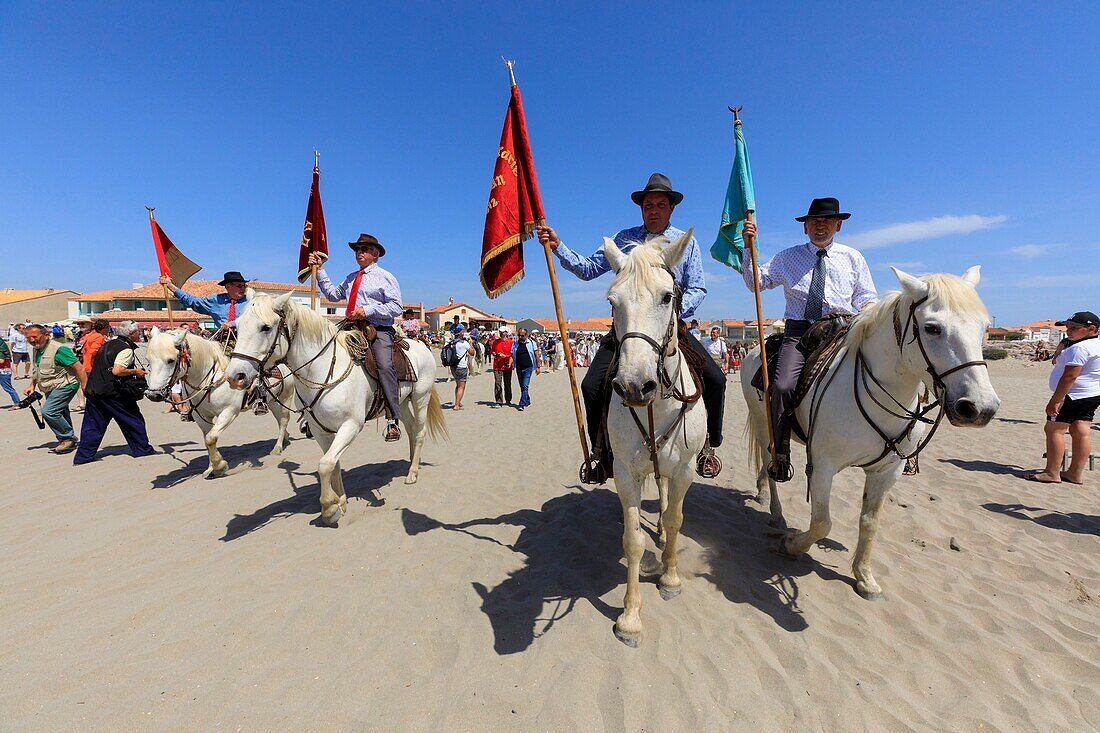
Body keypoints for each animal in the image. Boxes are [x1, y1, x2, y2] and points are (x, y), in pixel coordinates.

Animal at [144, 325, 297, 477]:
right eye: (148, 361)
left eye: (170, 360)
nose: (153, 394)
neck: (206, 378)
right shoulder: (201, 416)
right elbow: (207, 440)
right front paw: (211, 467)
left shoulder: (229, 411)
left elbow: (211, 438)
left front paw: (219, 466)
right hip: (272, 401)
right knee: (279, 419)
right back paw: (285, 438)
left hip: (286, 397)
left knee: (284, 419)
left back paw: (277, 447)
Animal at [223, 290, 446, 526]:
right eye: (238, 326)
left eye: (265, 327)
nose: (235, 376)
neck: (323, 371)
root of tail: (420, 344)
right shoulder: (320, 430)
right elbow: (333, 463)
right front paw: (341, 502)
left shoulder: (351, 426)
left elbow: (325, 464)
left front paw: (329, 508)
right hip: (401, 403)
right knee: (411, 429)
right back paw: (412, 462)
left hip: (420, 397)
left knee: (420, 432)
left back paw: (412, 473)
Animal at [743, 265, 1003, 598]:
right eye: (932, 328)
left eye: (984, 328)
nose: (980, 408)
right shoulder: (822, 466)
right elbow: (822, 523)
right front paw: (791, 544)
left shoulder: (886, 471)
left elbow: (869, 522)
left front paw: (864, 577)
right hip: (765, 426)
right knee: (768, 462)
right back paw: (775, 512)